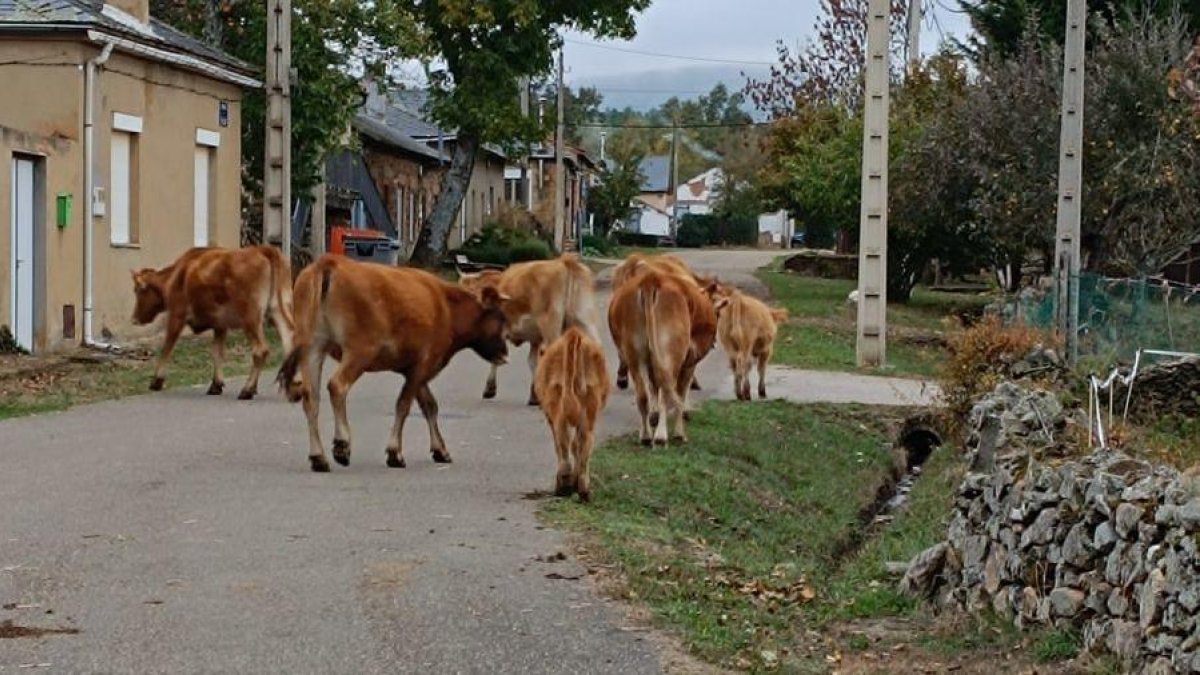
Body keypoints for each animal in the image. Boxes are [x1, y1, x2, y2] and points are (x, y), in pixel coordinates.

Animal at [130, 245, 294, 400]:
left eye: (138, 290)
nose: (134, 319)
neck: (178, 274)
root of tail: (263, 249)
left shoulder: (177, 315)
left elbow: (167, 348)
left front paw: (156, 381)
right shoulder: (220, 325)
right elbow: (217, 352)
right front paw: (216, 385)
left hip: (250, 317)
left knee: (260, 350)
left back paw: (247, 390)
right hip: (278, 308)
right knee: (290, 342)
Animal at [276, 254, 509, 473]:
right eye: (500, 317)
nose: (505, 354)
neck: (447, 308)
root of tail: (329, 262)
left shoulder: (414, 369)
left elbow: (430, 406)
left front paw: (440, 449)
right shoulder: (423, 365)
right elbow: (404, 405)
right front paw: (395, 453)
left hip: (313, 348)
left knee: (311, 397)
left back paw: (318, 457)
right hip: (360, 351)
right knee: (337, 386)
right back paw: (342, 445)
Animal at [458, 253, 599, 406]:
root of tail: (563, 261)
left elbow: (496, 358)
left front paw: (489, 389)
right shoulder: (535, 339)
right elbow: (533, 362)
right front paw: (534, 395)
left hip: (550, 323)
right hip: (584, 319)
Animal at [533, 327, 610, 502]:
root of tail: (573, 335)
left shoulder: (550, 416)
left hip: (560, 412)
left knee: (565, 444)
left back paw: (565, 486)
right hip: (588, 412)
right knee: (582, 443)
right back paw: (582, 490)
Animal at [608, 268, 717, 446]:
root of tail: (651, 279)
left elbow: (654, 388)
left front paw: (653, 418)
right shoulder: (689, 363)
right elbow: (681, 393)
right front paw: (679, 432)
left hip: (635, 355)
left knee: (643, 395)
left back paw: (646, 436)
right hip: (670, 354)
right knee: (666, 392)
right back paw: (661, 436)